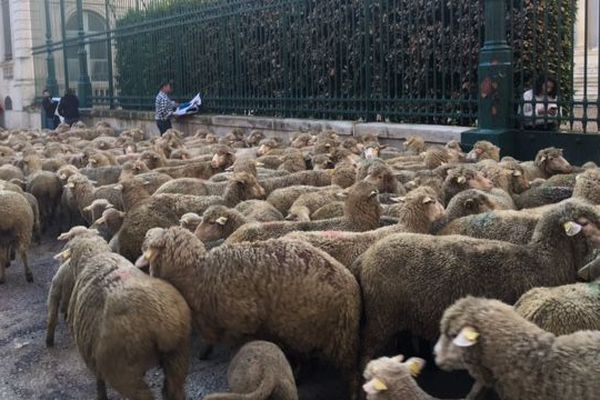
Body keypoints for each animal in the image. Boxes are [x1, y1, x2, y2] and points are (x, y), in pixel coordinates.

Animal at [137, 227, 360, 398]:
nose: (145, 236)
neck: (198, 273)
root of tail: (351, 286)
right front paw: (205, 352)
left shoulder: (241, 324)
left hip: (326, 335)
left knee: (348, 371)